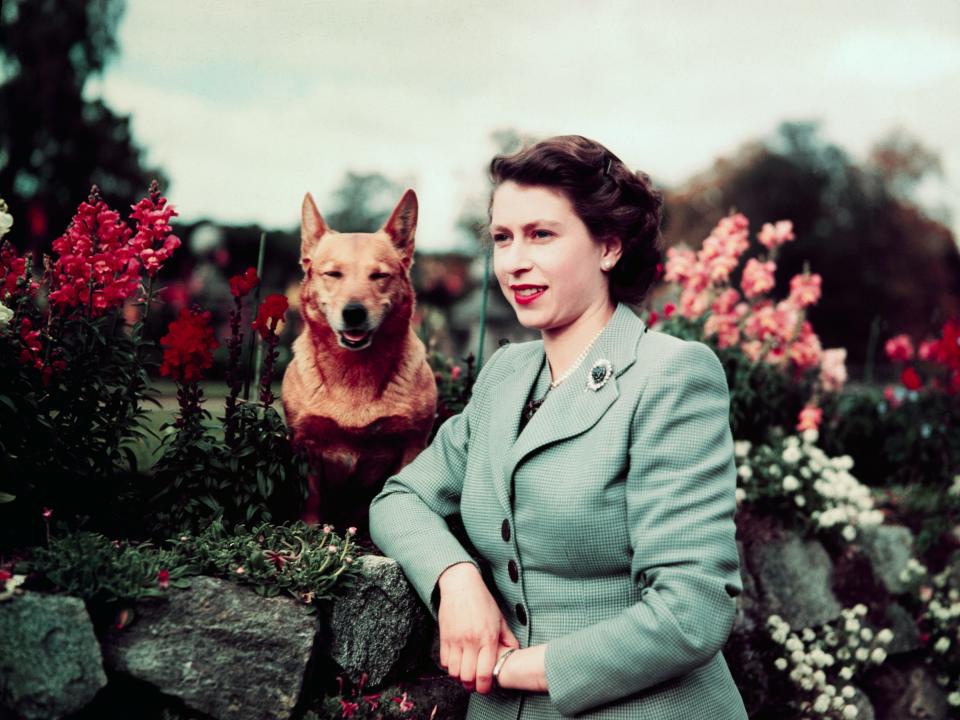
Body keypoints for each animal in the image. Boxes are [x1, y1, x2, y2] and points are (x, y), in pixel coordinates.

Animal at [282, 188, 438, 536]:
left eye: (379, 275)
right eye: (332, 274)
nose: (354, 312)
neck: (354, 372)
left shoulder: (412, 443)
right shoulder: (305, 444)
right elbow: (310, 501)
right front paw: (309, 535)